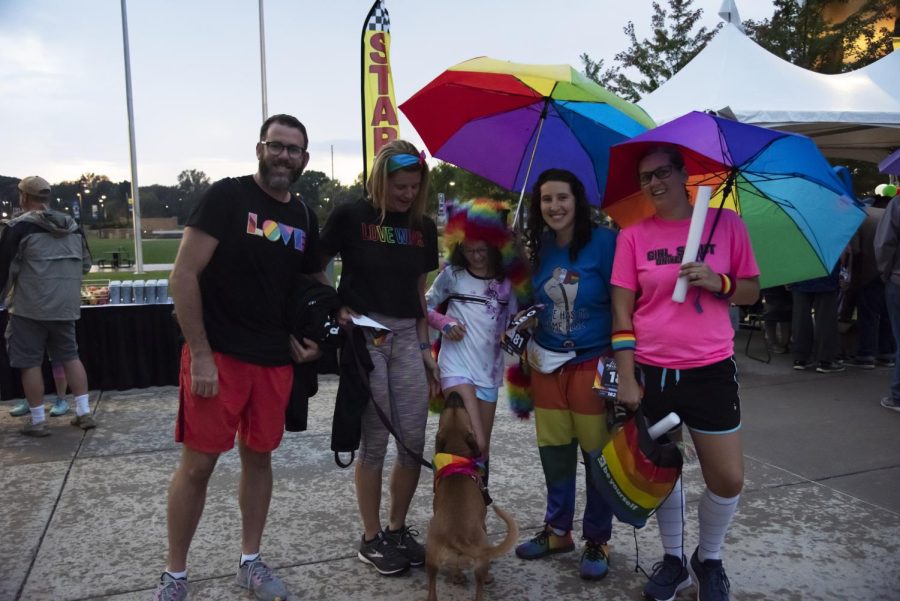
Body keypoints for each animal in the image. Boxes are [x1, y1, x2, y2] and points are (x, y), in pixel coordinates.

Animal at [428, 392, 520, 600]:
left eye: (448, 409)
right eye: (465, 410)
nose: (454, 393)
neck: (456, 451)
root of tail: (457, 537)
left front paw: (457, 577)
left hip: (431, 562)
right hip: (481, 555)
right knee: (480, 587)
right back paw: (485, 580)